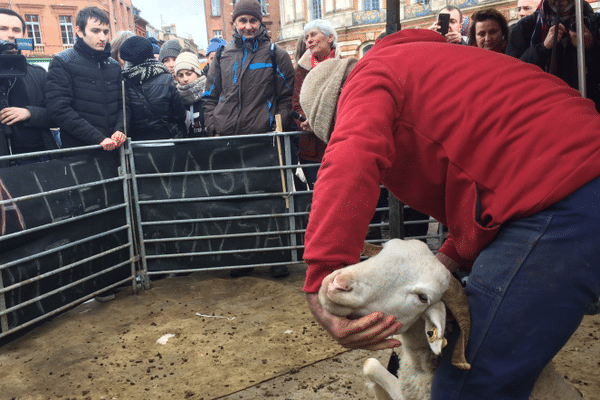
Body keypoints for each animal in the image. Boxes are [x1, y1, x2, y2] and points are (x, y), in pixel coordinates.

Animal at [322, 239, 584, 400]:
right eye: (386, 248)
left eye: (422, 297)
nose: (337, 284)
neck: (421, 364)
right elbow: (369, 364)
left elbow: (371, 366)